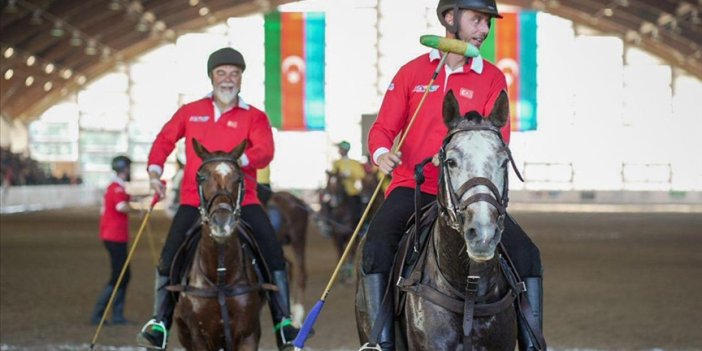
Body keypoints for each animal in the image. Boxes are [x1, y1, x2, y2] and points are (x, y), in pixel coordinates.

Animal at [172, 140, 268, 351]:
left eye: (239, 178)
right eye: (201, 177)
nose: (222, 222)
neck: (220, 276)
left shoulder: (249, 335)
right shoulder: (199, 338)